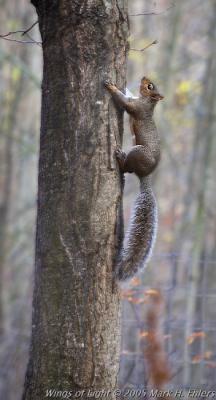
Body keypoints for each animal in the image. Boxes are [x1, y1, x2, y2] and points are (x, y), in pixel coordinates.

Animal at [104, 76, 163, 280]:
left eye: (150, 86)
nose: (144, 77)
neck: (148, 102)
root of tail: (145, 175)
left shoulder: (136, 107)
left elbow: (124, 102)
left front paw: (112, 87)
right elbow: (128, 95)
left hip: (137, 152)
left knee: (127, 169)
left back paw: (120, 159)